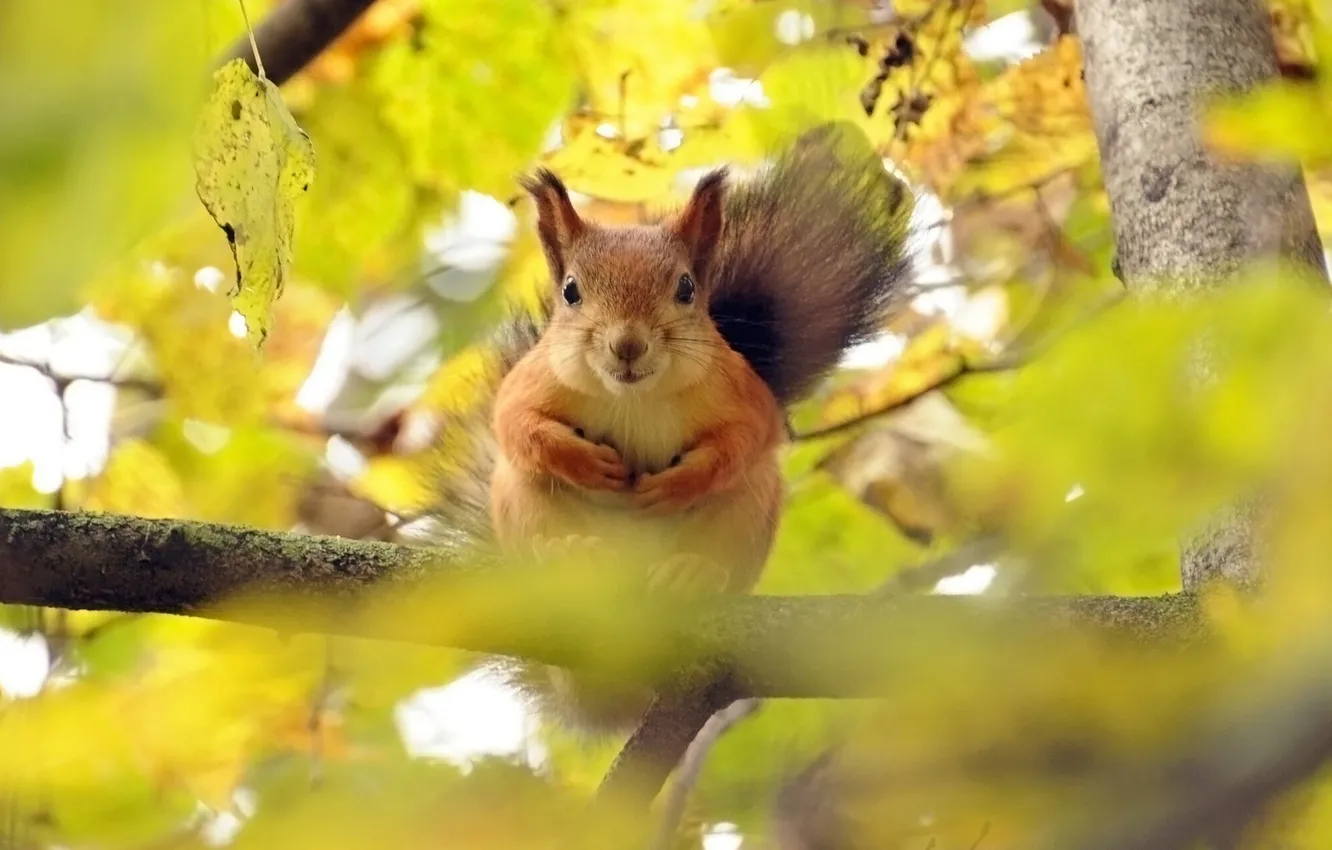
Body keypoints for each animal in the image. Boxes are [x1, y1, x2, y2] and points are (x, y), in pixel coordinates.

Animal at [418, 121, 916, 740]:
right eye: (571, 291)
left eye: (685, 289)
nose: (627, 345)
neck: (635, 396)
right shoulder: (530, 382)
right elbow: (515, 424)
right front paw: (583, 461)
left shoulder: (742, 393)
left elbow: (747, 438)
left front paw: (679, 482)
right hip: (520, 500)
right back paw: (570, 555)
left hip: (749, 512)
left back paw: (691, 575)